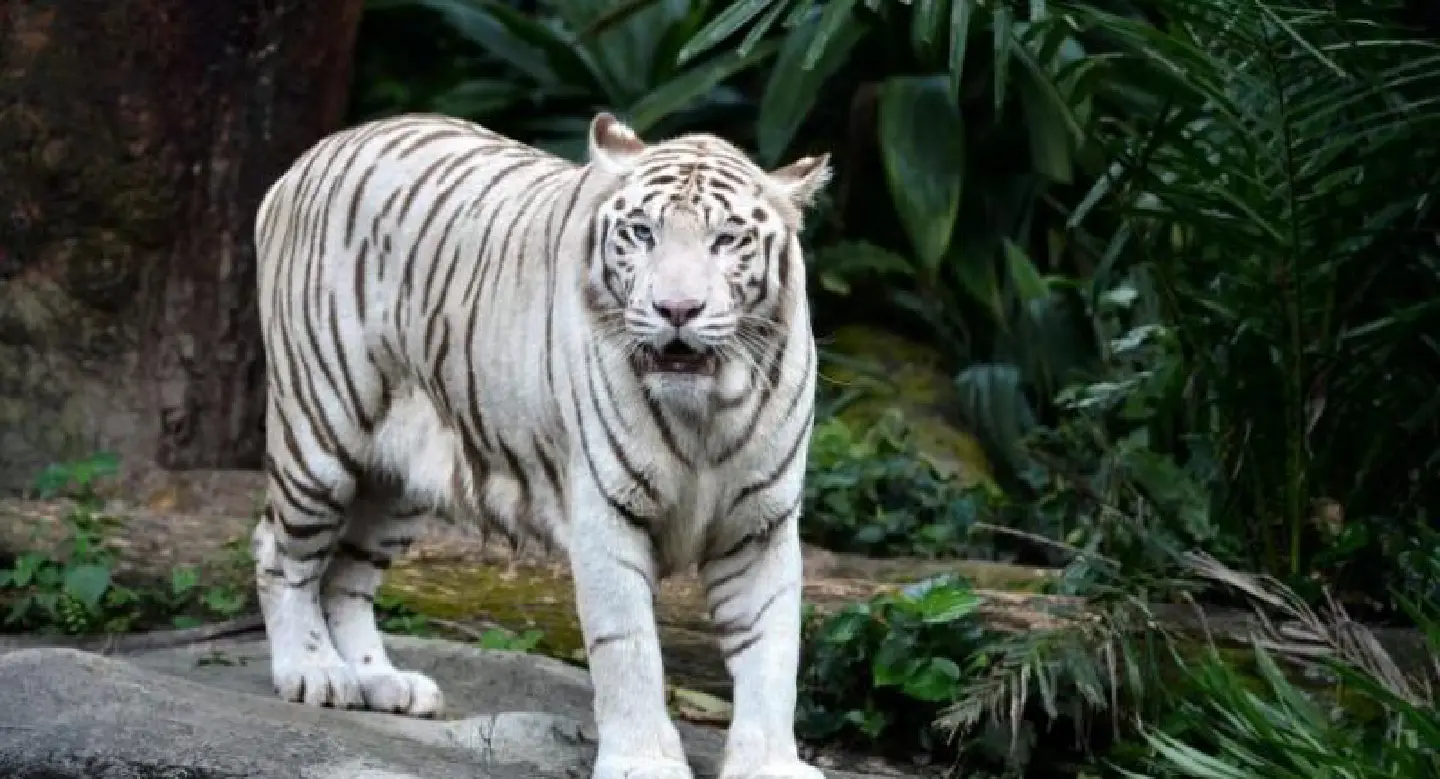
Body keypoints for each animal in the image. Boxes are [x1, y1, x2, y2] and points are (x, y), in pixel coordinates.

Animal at [248, 109, 832, 779]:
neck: (706, 414)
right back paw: (314, 671)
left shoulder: (761, 523)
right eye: (642, 233)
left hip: (399, 481)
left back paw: (382, 683)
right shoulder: (607, 512)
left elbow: (772, 652)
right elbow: (628, 646)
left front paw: (771, 765)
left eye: (727, 240)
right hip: (319, 433)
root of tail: (315, 154)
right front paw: (643, 760)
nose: (677, 309)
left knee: (346, 575)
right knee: (281, 553)